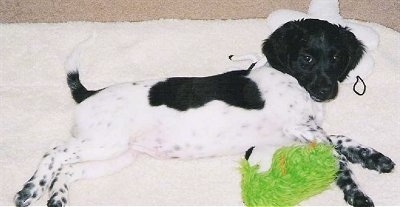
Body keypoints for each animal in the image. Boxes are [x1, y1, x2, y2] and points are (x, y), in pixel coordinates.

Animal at [14, 19, 394, 207]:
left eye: (336, 59)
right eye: (307, 58)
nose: (327, 92)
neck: (293, 83)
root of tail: (88, 94)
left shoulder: (303, 132)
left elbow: (342, 140)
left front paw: (373, 157)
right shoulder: (300, 128)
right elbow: (338, 155)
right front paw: (357, 192)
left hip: (116, 155)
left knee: (68, 169)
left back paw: (57, 197)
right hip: (104, 142)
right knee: (54, 152)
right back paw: (30, 190)